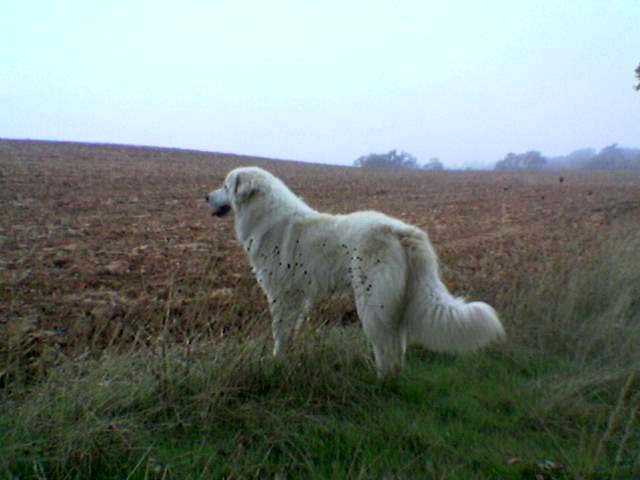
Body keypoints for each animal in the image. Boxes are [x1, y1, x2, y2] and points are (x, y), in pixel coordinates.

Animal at [205, 167, 504, 376]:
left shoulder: (281, 295)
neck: (266, 216)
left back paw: (381, 380)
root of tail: (400, 230)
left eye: (225, 185)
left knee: (386, 346)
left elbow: (279, 332)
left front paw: (276, 361)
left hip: (372, 303)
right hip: (393, 302)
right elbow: (289, 333)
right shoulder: (297, 298)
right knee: (398, 345)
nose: (205, 196)